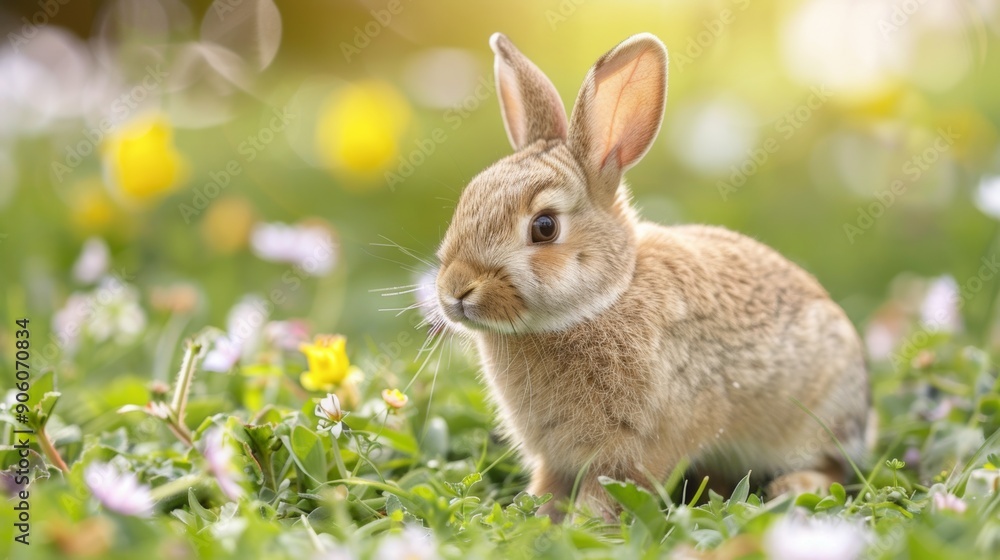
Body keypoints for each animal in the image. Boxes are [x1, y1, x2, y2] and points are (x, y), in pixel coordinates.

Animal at [432, 32, 873, 520]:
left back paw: (792, 486)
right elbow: (549, 486)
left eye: (544, 227)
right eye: (468, 198)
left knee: (834, 467)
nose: (455, 290)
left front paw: (581, 524)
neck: (605, 298)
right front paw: (538, 516)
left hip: (817, 418)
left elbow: (608, 491)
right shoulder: (555, 455)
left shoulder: (636, 444)